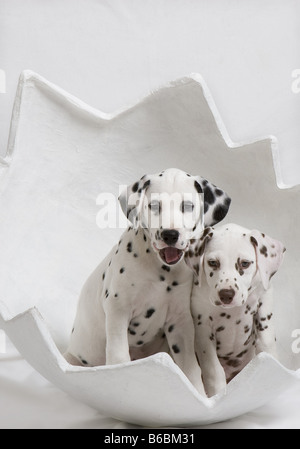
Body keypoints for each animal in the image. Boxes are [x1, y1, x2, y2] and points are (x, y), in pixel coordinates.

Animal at [64, 166, 231, 394]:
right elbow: (118, 357)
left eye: (187, 206)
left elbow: (190, 368)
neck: (162, 272)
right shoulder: (118, 311)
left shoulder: (180, 322)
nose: (170, 234)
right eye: (154, 206)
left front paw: (198, 393)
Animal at [185, 223, 286, 396]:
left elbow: (266, 346)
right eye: (213, 262)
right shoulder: (203, 328)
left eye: (245, 263)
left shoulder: (264, 304)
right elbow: (214, 370)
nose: (226, 294)